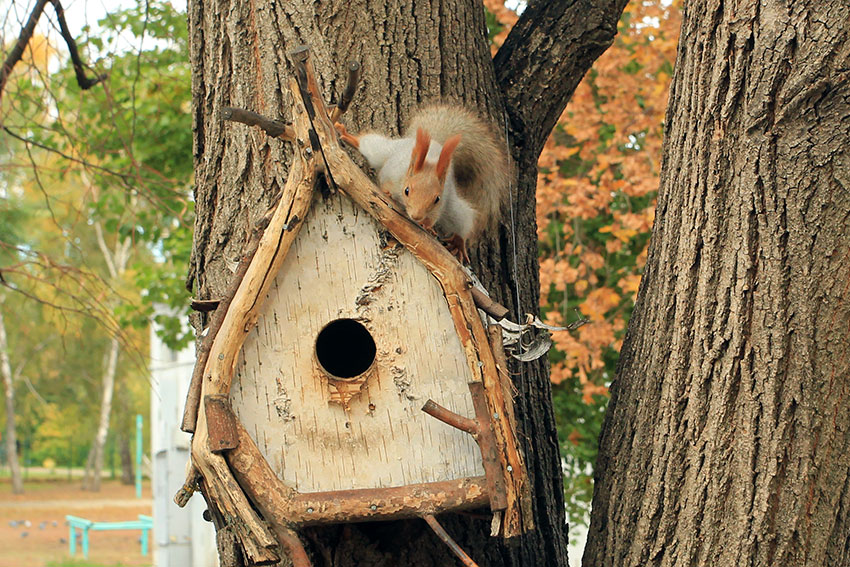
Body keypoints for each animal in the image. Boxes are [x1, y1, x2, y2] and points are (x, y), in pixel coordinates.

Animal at [336, 105, 511, 262]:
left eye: (436, 199)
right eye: (407, 190)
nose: (416, 216)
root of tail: (436, 143)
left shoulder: (444, 200)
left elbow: (435, 217)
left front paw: (428, 226)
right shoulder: (392, 173)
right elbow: (384, 183)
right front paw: (387, 193)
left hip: (453, 208)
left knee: (463, 220)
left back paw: (458, 243)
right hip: (387, 149)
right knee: (371, 146)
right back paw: (348, 136)